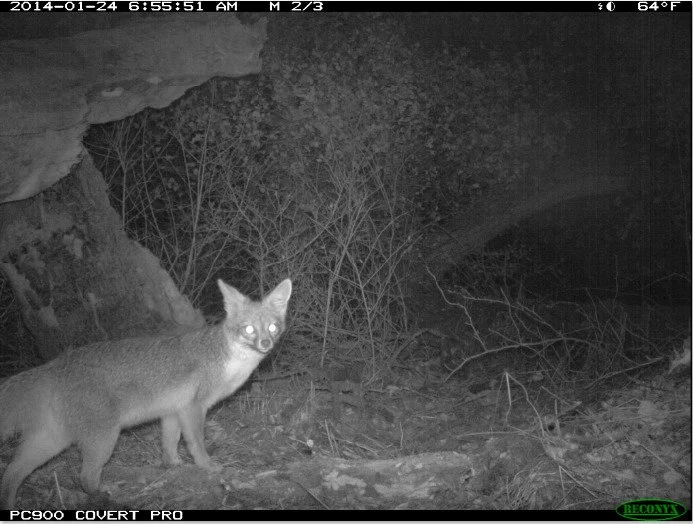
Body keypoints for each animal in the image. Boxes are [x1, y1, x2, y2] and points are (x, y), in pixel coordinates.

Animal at [0, 278, 292, 509]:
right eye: (249, 329)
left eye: (273, 327)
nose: (266, 343)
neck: (227, 360)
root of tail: (54, 365)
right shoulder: (193, 408)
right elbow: (196, 443)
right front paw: (207, 467)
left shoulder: (173, 411)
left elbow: (169, 443)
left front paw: (173, 465)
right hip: (104, 439)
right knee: (84, 477)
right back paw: (106, 495)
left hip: (51, 441)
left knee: (11, 473)